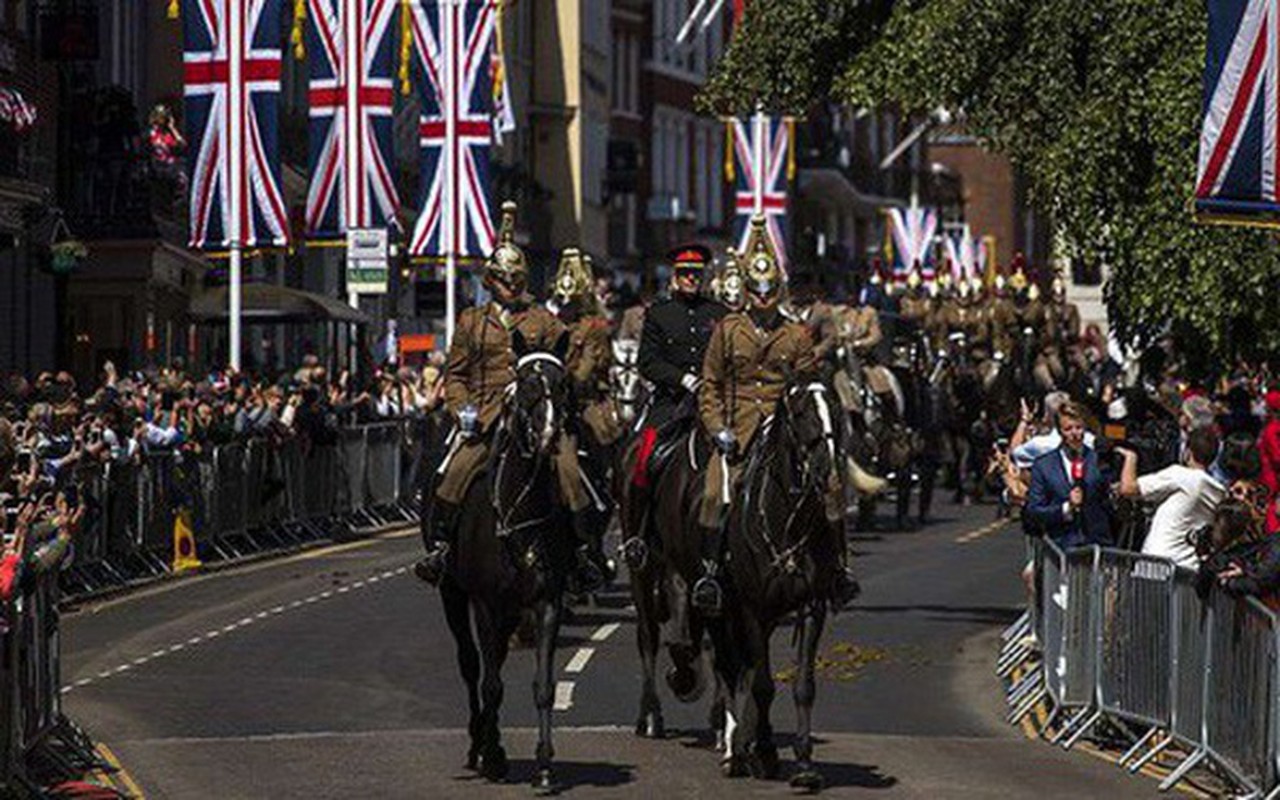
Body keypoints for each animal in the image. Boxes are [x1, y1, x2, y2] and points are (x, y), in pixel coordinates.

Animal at [440, 330, 576, 793]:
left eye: (562, 382)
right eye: (527, 384)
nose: (549, 434)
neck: (520, 510)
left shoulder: (546, 602)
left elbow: (543, 686)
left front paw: (546, 766)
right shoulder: (483, 602)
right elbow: (491, 684)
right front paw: (493, 756)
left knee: (493, 658)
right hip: (453, 595)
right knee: (471, 665)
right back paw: (477, 745)